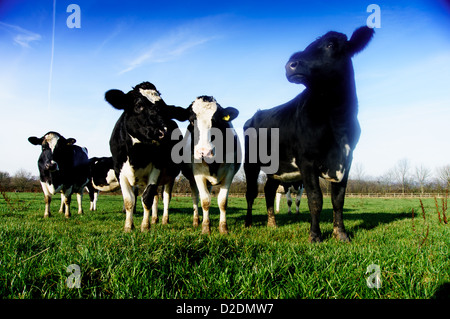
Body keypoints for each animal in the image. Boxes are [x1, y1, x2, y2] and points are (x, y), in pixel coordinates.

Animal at [106, 82, 188, 232]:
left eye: (165, 109)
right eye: (139, 105)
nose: (165, 132)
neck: (137, 154)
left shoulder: (157, 167)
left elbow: (147, 198)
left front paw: (145, 226)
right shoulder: (119, 170)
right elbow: (129, 200)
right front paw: (129, 226)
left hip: (170, 176)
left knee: (165, 197)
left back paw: (164, 220)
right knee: (156, 197)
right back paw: (154, 219)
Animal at [176, 95, 241, 235]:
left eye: (216, 121)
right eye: (192, 121)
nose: (204, 152)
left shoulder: (230, 172)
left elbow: (222, 202)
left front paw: (223, 228)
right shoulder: (198, 174)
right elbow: (205, 201)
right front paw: (205, 228)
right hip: (192, 179)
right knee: (195, 198)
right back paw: (196, 221)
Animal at [244, 26, 374, 242]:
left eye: (330, 44)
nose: (290, 65)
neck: (336, 119)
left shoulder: (346, 159)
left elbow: (338, 200)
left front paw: (341, 234)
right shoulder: (307, 160)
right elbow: (315, 199)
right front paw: (315, 235)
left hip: (276, 168)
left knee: (269, 190)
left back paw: (272, 224)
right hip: (250, 163)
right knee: (251, 193)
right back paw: (248, 223)